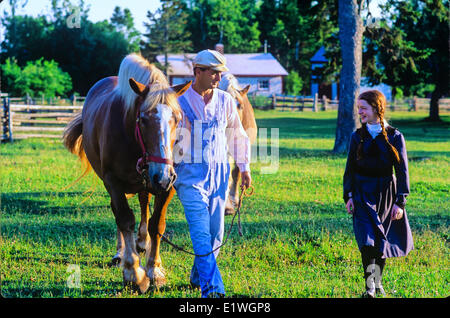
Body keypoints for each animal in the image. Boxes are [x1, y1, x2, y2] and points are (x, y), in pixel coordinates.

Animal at [62, 52, 190, 294]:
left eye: (177, 118)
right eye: (143, 119)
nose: (163, 175)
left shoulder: (168, 183)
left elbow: (157, 223)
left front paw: (155, 269)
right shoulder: (114, 182)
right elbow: (124, 219)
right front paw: (133, 273)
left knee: (143, 203)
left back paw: (142, 242)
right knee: (119, 214)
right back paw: (121, 253)